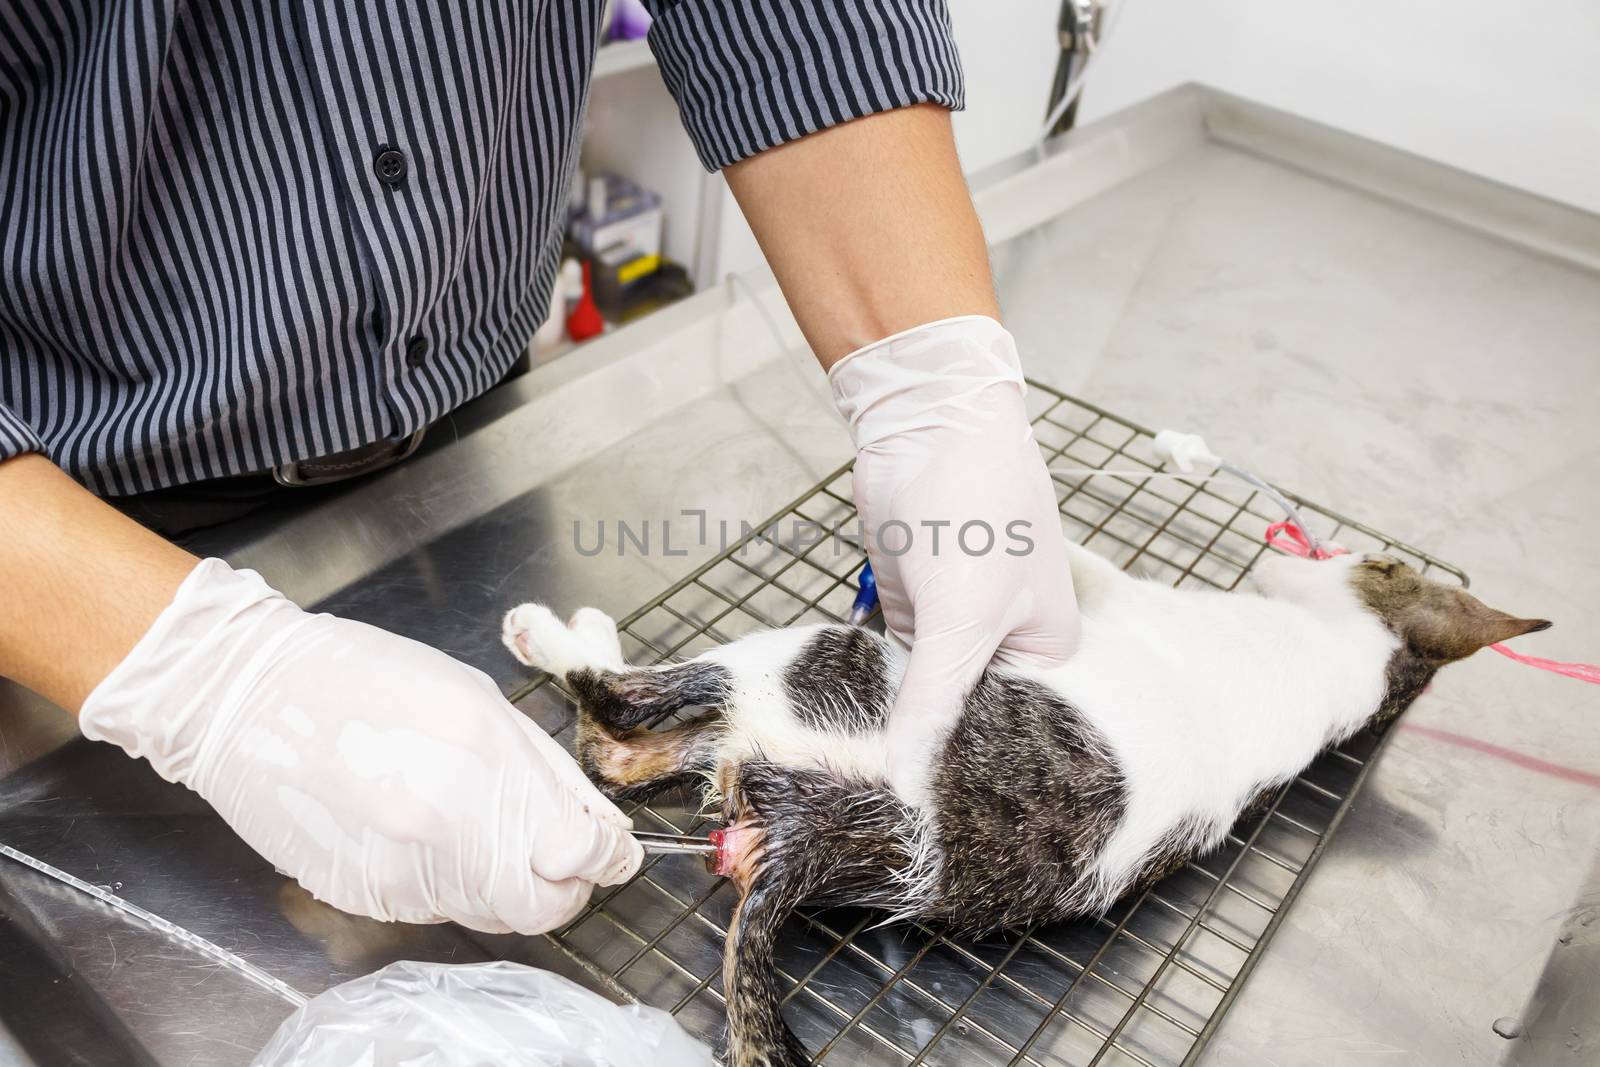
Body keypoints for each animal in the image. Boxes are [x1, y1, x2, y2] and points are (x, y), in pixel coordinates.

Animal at [502, 543, 1548, 1067]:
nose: (1305, 541)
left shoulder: (1121, 594)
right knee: (618, 748)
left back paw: (553, 630)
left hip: (801, 661)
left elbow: (1073, 553)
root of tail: (824, 841)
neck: (1349, 665)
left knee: (616, 708)